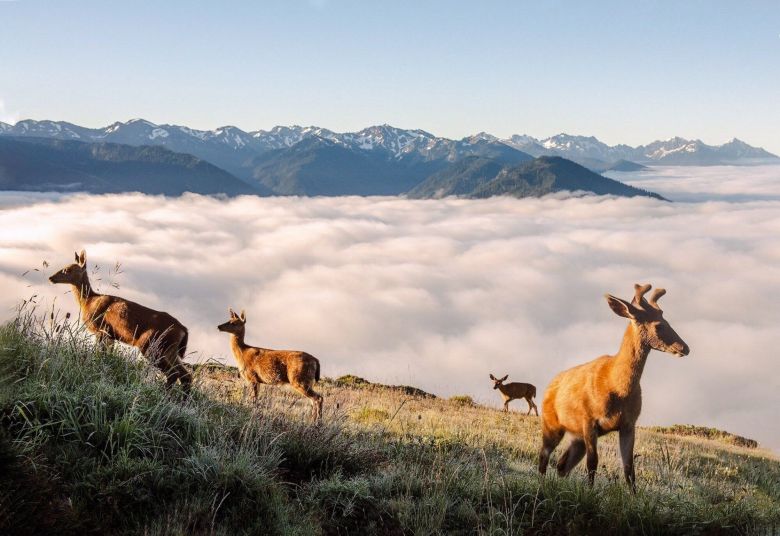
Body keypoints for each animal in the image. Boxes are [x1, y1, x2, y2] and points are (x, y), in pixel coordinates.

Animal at [48, 249, 192, 392]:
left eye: (67, 269)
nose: (51, 278)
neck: (89, 301)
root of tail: (183, 329)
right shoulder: (111, 335)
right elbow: (108, 355)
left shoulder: (101, 329)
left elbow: (100, 354)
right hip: (170, 350)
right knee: (185, 375)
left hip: (152, 345)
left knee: (174, 374)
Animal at [536, 282, 688, 492]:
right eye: (659, 325)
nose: (685, 348)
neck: (617, 387)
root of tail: (549, 385)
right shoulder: (589, 419)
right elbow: (593, 462)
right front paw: (590, 492)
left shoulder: (629, 424)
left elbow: (629, 468)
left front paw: (633, 496)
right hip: (552, 423)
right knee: (544, 455)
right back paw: (541, 484)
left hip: (576, 437)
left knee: (562, 464)